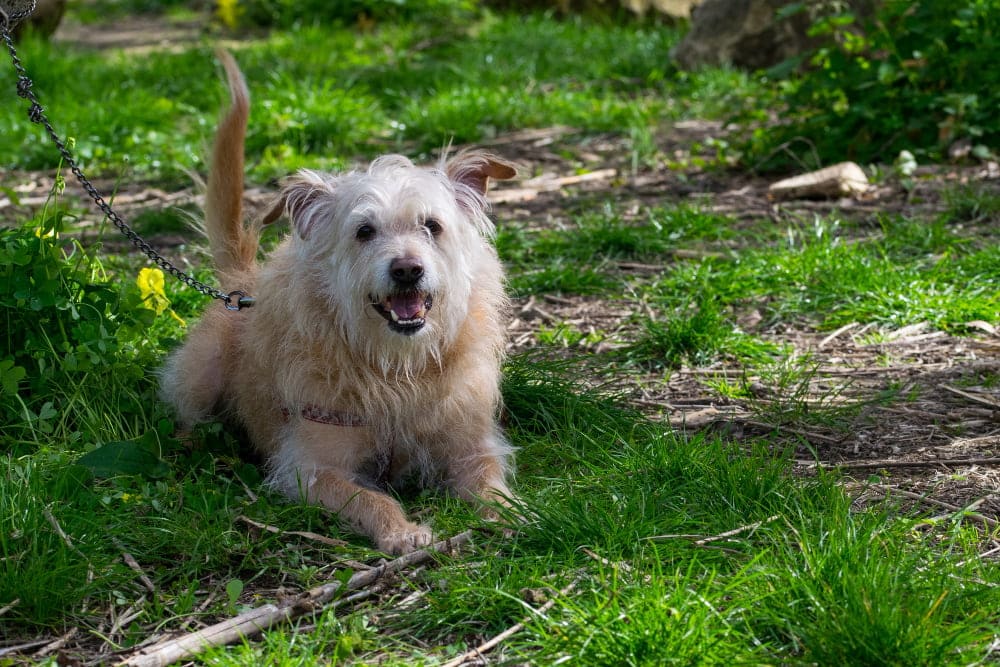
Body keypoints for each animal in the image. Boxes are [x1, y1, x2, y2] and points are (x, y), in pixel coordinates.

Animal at [160, 51, 520, 552]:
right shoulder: (310, 468)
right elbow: (371, 498)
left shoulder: (471, 445)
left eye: (432, 226)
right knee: (187, 415)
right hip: (201, 374)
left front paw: (513, 516)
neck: (396, 370)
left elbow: (489, 483)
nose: (407, 269)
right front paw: (402, 531)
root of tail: (240, 285)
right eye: (364, 231)